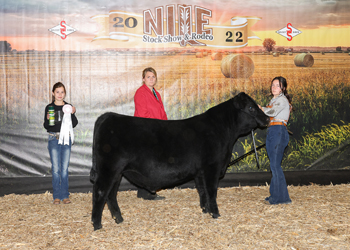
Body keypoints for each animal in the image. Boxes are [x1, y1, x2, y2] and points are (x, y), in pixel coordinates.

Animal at [89, 92, 268, 230]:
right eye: (251, 108)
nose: (267, 119)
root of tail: (108, 116)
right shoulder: (212, 168)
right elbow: (211, 191)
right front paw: (216, 213)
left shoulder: (200, 171)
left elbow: (202, 190)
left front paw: (205, 210)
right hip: (108, 169)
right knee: (100, 192)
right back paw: (97, 225)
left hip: (117, 172)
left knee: (111, 194)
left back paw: (119, 219)